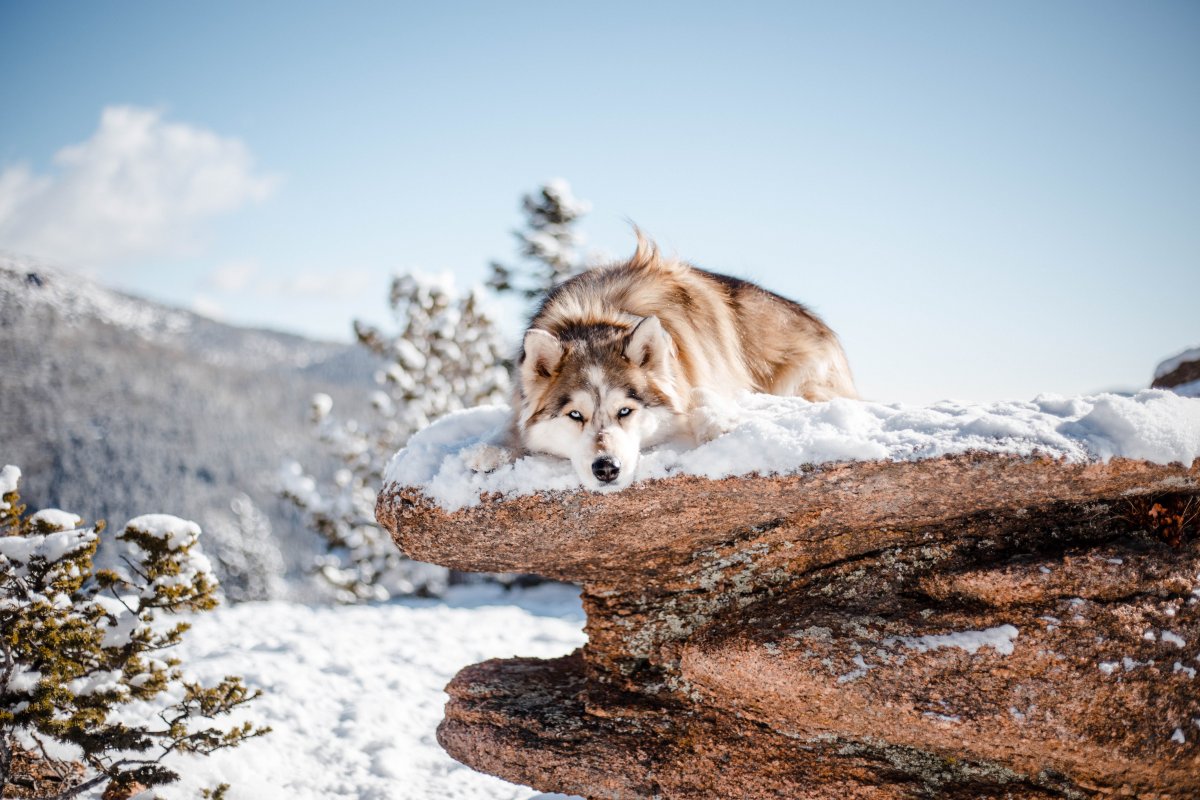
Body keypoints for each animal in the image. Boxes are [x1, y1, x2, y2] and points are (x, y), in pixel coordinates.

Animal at [506, 235, 854, 491]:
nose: (606, 468)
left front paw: (718, 424)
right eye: (575, 415)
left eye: (625, 411)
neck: (594, 316)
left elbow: (698, 393)